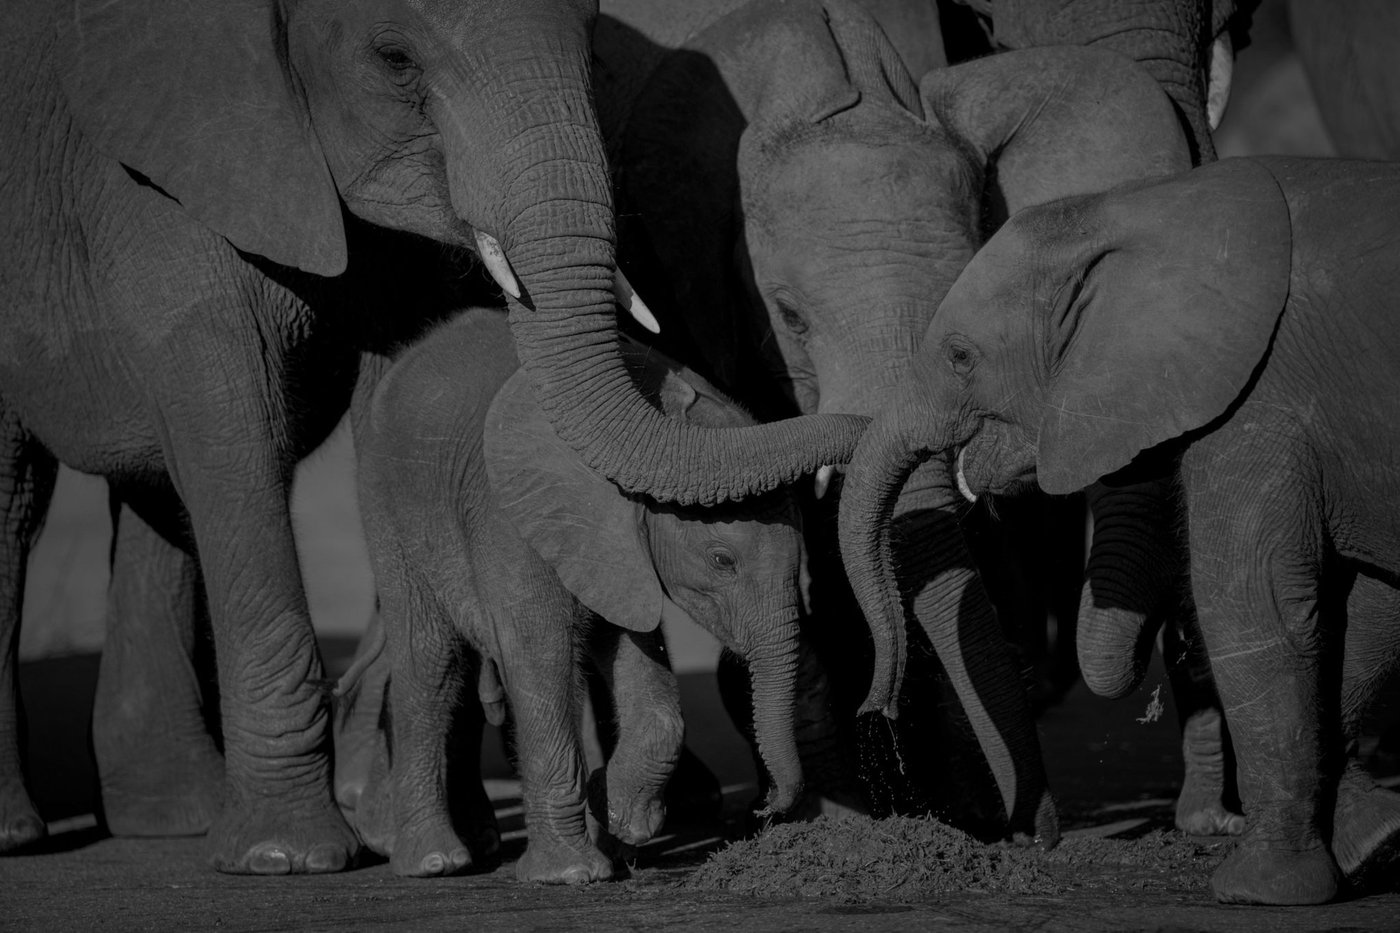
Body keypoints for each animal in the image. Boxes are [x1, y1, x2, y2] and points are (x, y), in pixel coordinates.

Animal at [333, 307, 814, 880]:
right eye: (723, 560)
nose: (764, 810)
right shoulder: (513, 518)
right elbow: (541, 654)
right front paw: (571, 873)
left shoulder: (621, 551)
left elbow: (638, 657)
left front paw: (621, 814)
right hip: (386, 498)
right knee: (431, 659)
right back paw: (435, 862)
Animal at [837, 156, 1400, 905]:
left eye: (960, 356)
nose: (878, 711)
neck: (1138, 206)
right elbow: (1371, 614)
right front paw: (1370, 842)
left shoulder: (1260, 399)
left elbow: (1260, 611)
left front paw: (1257, 889)